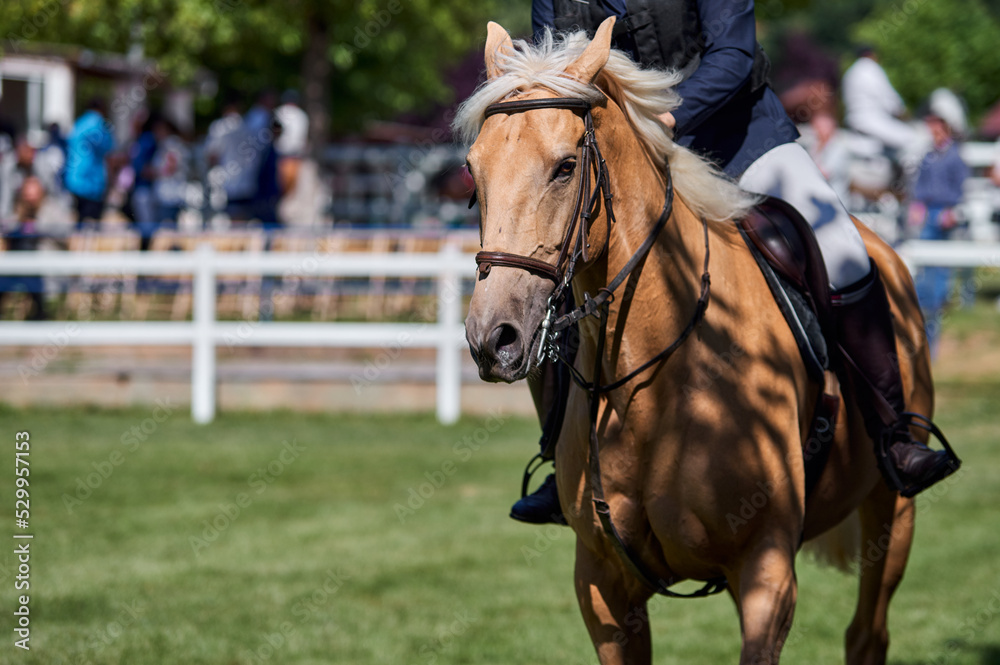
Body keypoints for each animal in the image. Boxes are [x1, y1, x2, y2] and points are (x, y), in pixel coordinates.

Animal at [458, 18, 933, 665]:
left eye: (564, 167)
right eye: (474, 171)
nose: (493, 338)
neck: (649, 384)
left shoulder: (765, 572)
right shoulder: (603, 587)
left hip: (892, 510)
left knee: (868, 632)